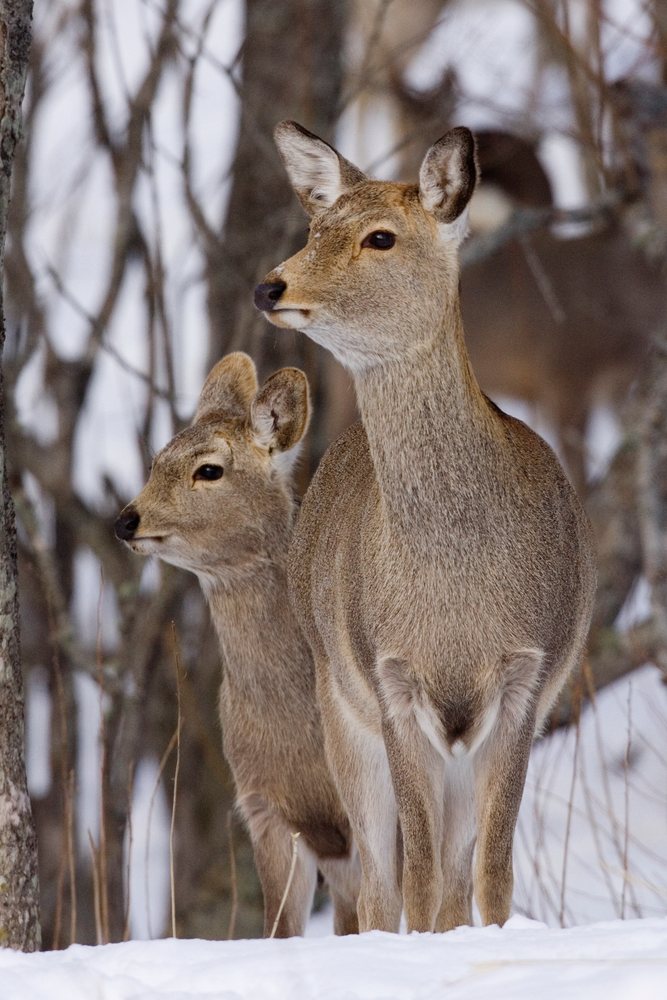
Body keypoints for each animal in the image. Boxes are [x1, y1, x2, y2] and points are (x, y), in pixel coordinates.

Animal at [254, 122, 597, 934]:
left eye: (380, 236)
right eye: (314, 228)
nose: (270, 286)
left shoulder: (528, 677)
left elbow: (489, 873)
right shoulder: (389, 679)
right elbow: (411, 877)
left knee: (446, 876)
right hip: (339, 709)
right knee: (380, 884)